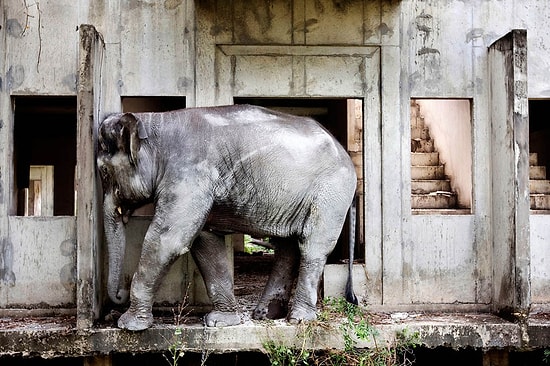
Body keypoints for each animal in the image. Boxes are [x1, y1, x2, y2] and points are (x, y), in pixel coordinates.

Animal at [97, 103, 360, 332]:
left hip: (331, 192)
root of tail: (345, 153)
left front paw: (128, 325)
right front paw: (219, 322)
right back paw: (266, 314)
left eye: (104, 172)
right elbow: (205, 243)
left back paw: (298, 319)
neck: (154, 123)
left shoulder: (189, 174)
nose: (119, 294)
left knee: (312, 247)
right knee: (288, 247)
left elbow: (167, 240)